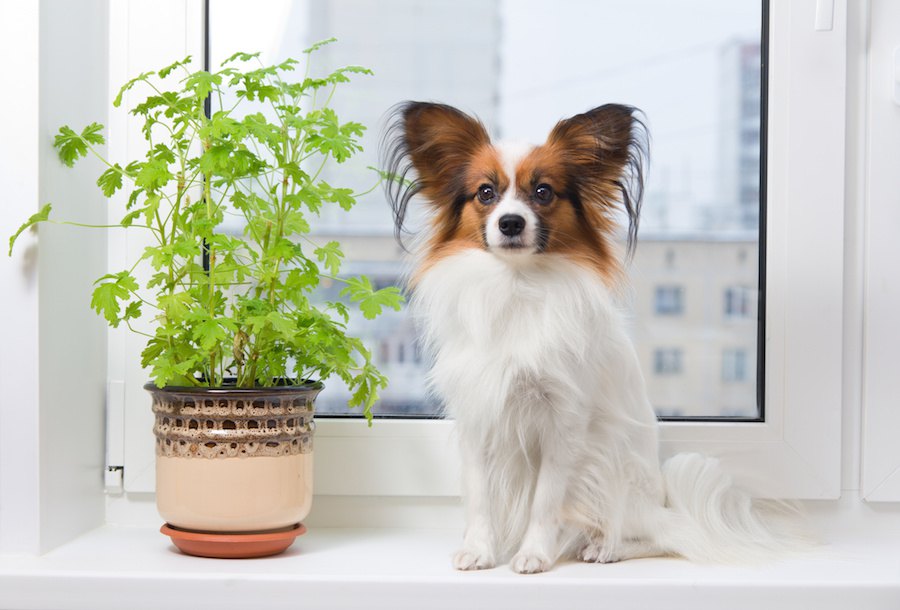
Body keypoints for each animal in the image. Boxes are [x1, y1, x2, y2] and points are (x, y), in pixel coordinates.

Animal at [380, 102, 796, 572]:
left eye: (543, 192)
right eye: (485, 193)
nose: (510, 223)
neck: (518, 286)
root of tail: (659, 503)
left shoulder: (564, 423)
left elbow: (545, 501)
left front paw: (534, 554)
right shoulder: (479, 416)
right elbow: (481, 497)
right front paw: (479, 549)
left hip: (614, 473)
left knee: (657, 535)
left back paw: (606, 547)